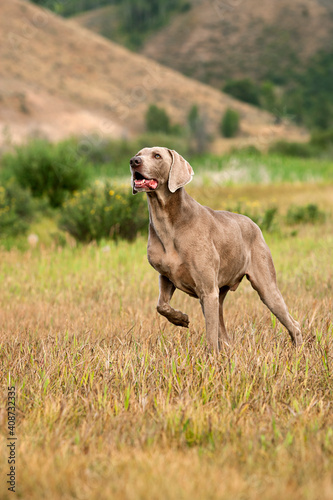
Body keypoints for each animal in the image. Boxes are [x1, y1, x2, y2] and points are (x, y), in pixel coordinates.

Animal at [129, 147, 300, 352]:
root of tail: (254, 224)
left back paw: (298, 349)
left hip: (266, 286)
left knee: (292, 323)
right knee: (224, 334)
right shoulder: (166, 276)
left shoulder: (208, 291)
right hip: (221, 294)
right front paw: (180, 319)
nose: (133, 161)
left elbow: (210, 335)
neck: (168, 221)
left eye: (157, 156)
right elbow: (161, 305)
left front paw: (209, 356)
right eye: (139, 153)